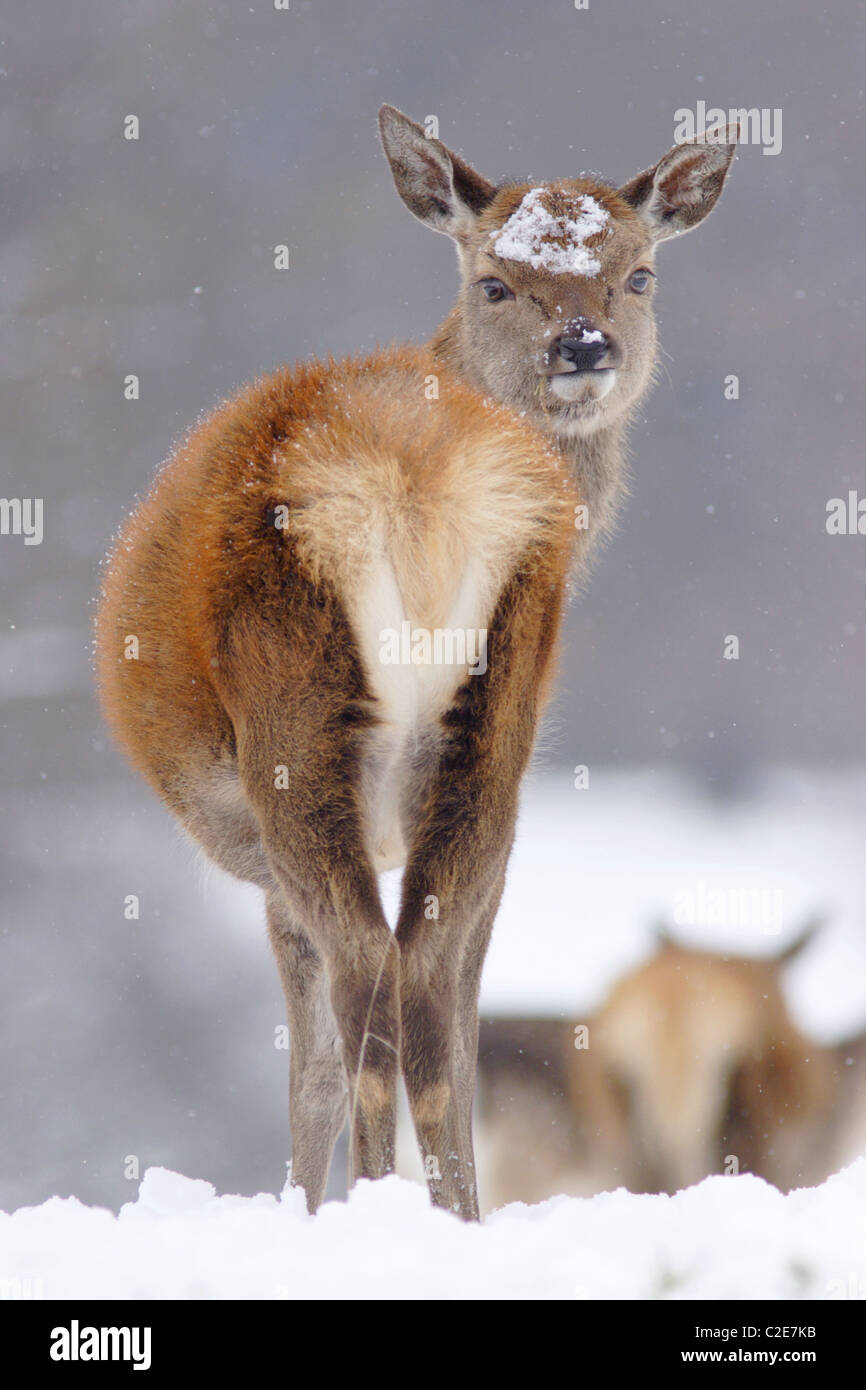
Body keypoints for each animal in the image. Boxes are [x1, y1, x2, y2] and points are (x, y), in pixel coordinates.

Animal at [97, 105, 739, 1217]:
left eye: (639, 272)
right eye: (493, 281)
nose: (583, 343)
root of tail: (409, 478)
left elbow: (313, 1063)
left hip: (297, 733)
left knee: (377, 983)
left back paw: (370, 1208)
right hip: (494, 719)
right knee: (428, 989)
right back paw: (448, 1214)